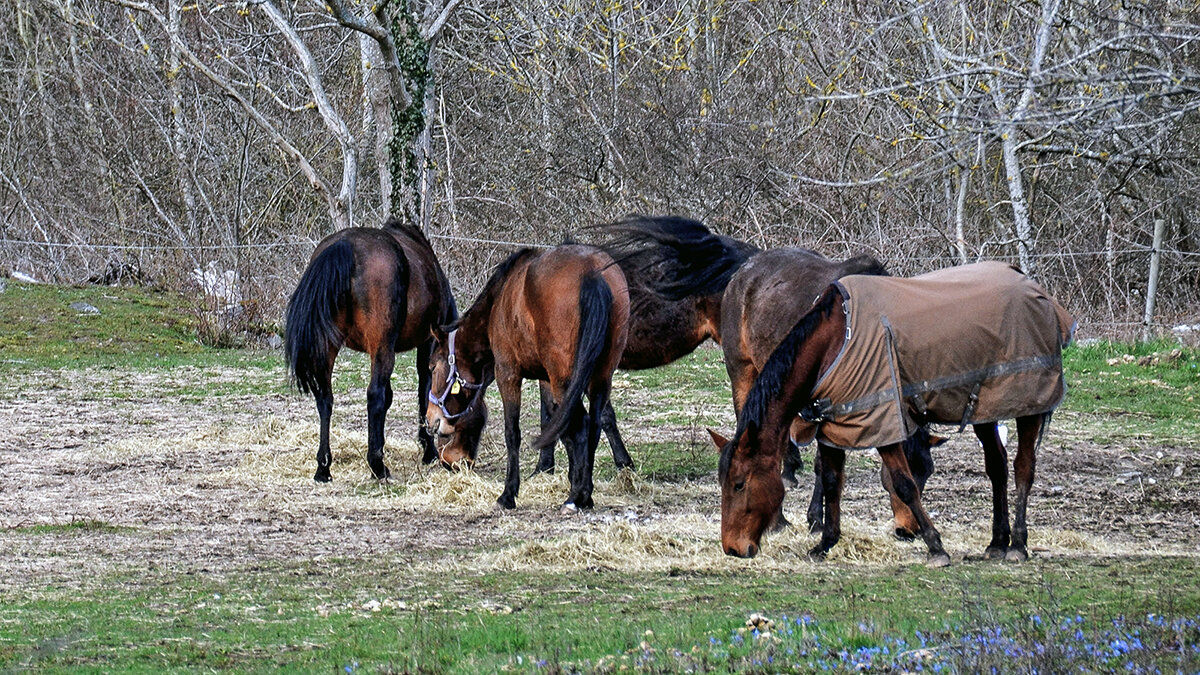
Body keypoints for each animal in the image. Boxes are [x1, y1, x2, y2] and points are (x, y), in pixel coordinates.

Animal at [283, 218, 456, 480]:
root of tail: (345, 246)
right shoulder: (428, 343)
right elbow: (422, 390)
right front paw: (428, 450)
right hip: (382, 346)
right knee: (375, 395)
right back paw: (377, 466)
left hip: (330, 346)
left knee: (325, 398)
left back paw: (323, 467)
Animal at [422, 242, 628, 509]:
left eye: (433, 367)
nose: (431, 420)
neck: (499, 303)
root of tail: (592, 272)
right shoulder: (547, 379)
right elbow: (556, 426)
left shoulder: (508, 373)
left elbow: (513, 433)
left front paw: (508, 493)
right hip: (600, 375)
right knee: (592, 424)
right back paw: (584, 493)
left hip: (565, 380)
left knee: (581, 424)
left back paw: (577, 497)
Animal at [715, 260, 1075, 564]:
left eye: (739, 484)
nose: (732, 548)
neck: (835, 340)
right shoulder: (835, 424)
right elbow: (832, 481)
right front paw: (825, 543)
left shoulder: (882, 422)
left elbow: (903, 484)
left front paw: (935, 547)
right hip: (983, 409)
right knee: (997, 467)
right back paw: (996, 543)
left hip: (1028, 406)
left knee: (1023, 467)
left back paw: (1017, 545)